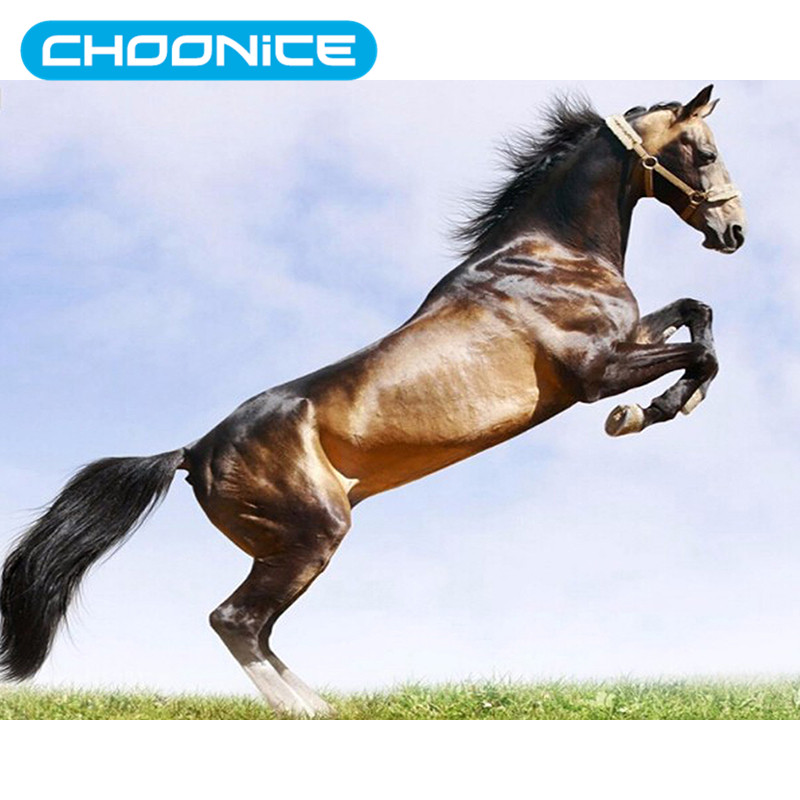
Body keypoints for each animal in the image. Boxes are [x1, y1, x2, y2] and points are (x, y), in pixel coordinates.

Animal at [0, 85, 746, 717]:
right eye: (705, 152)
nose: (734, 232)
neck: (550, 254)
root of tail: (192, 452)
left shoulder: (629, 338)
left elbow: (697, 312)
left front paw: (666, 403)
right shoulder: (596, 371)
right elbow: (700, 352)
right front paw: (644, 414)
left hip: (285, 545)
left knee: (256, 627)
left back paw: (324, 705)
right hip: (312, 535)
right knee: (235, 620)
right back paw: (302, 711)